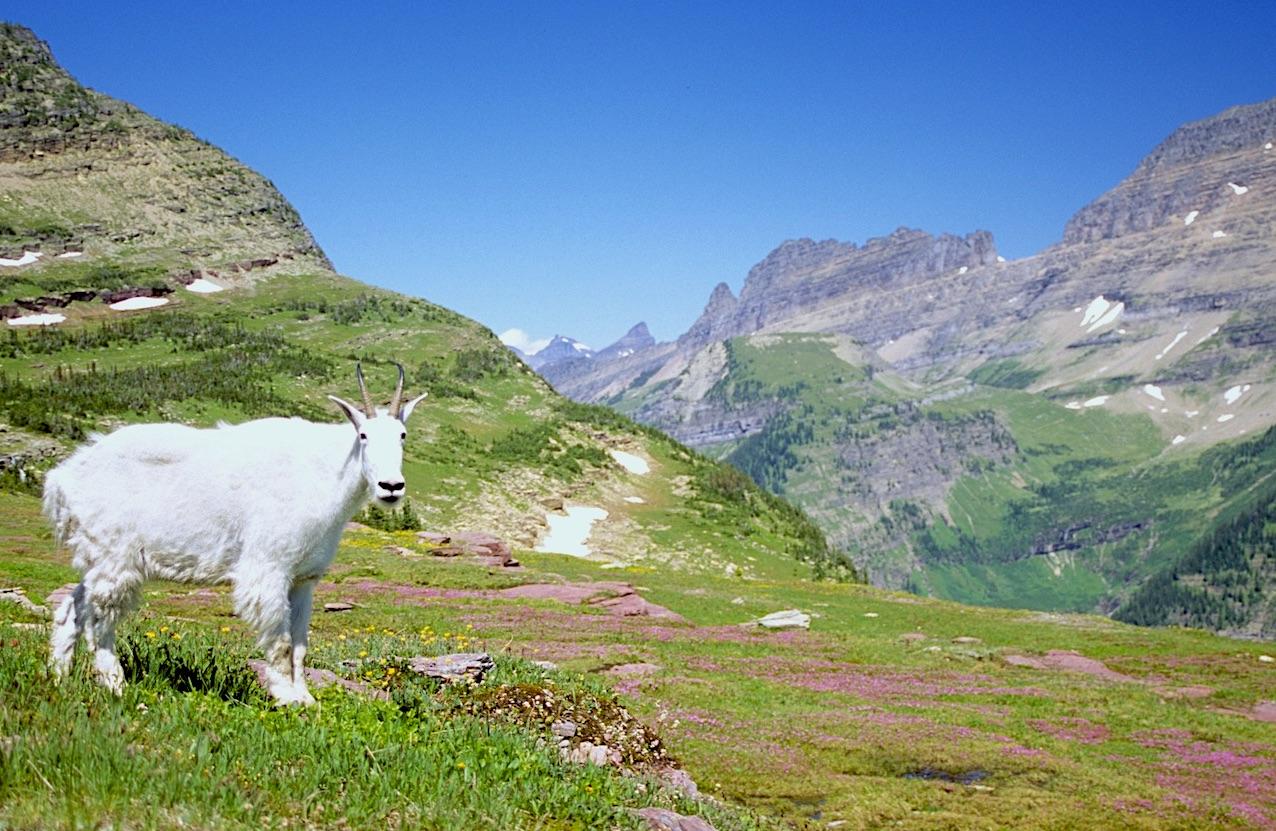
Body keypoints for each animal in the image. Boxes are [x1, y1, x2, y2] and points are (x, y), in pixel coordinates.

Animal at [44, 362, 426, 704]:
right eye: (363, 435)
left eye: (403, 435)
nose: (391, 486)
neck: (323, 475)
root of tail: (63, 479)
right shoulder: (269, 567)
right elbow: (280, 642)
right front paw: (287, 698)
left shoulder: (304, 577)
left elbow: (299, 645)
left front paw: (307, 699)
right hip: (115, 557)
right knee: (99, 621)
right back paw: (115, 686)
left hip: (97, 557)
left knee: (73, 607)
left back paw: (59, 677)